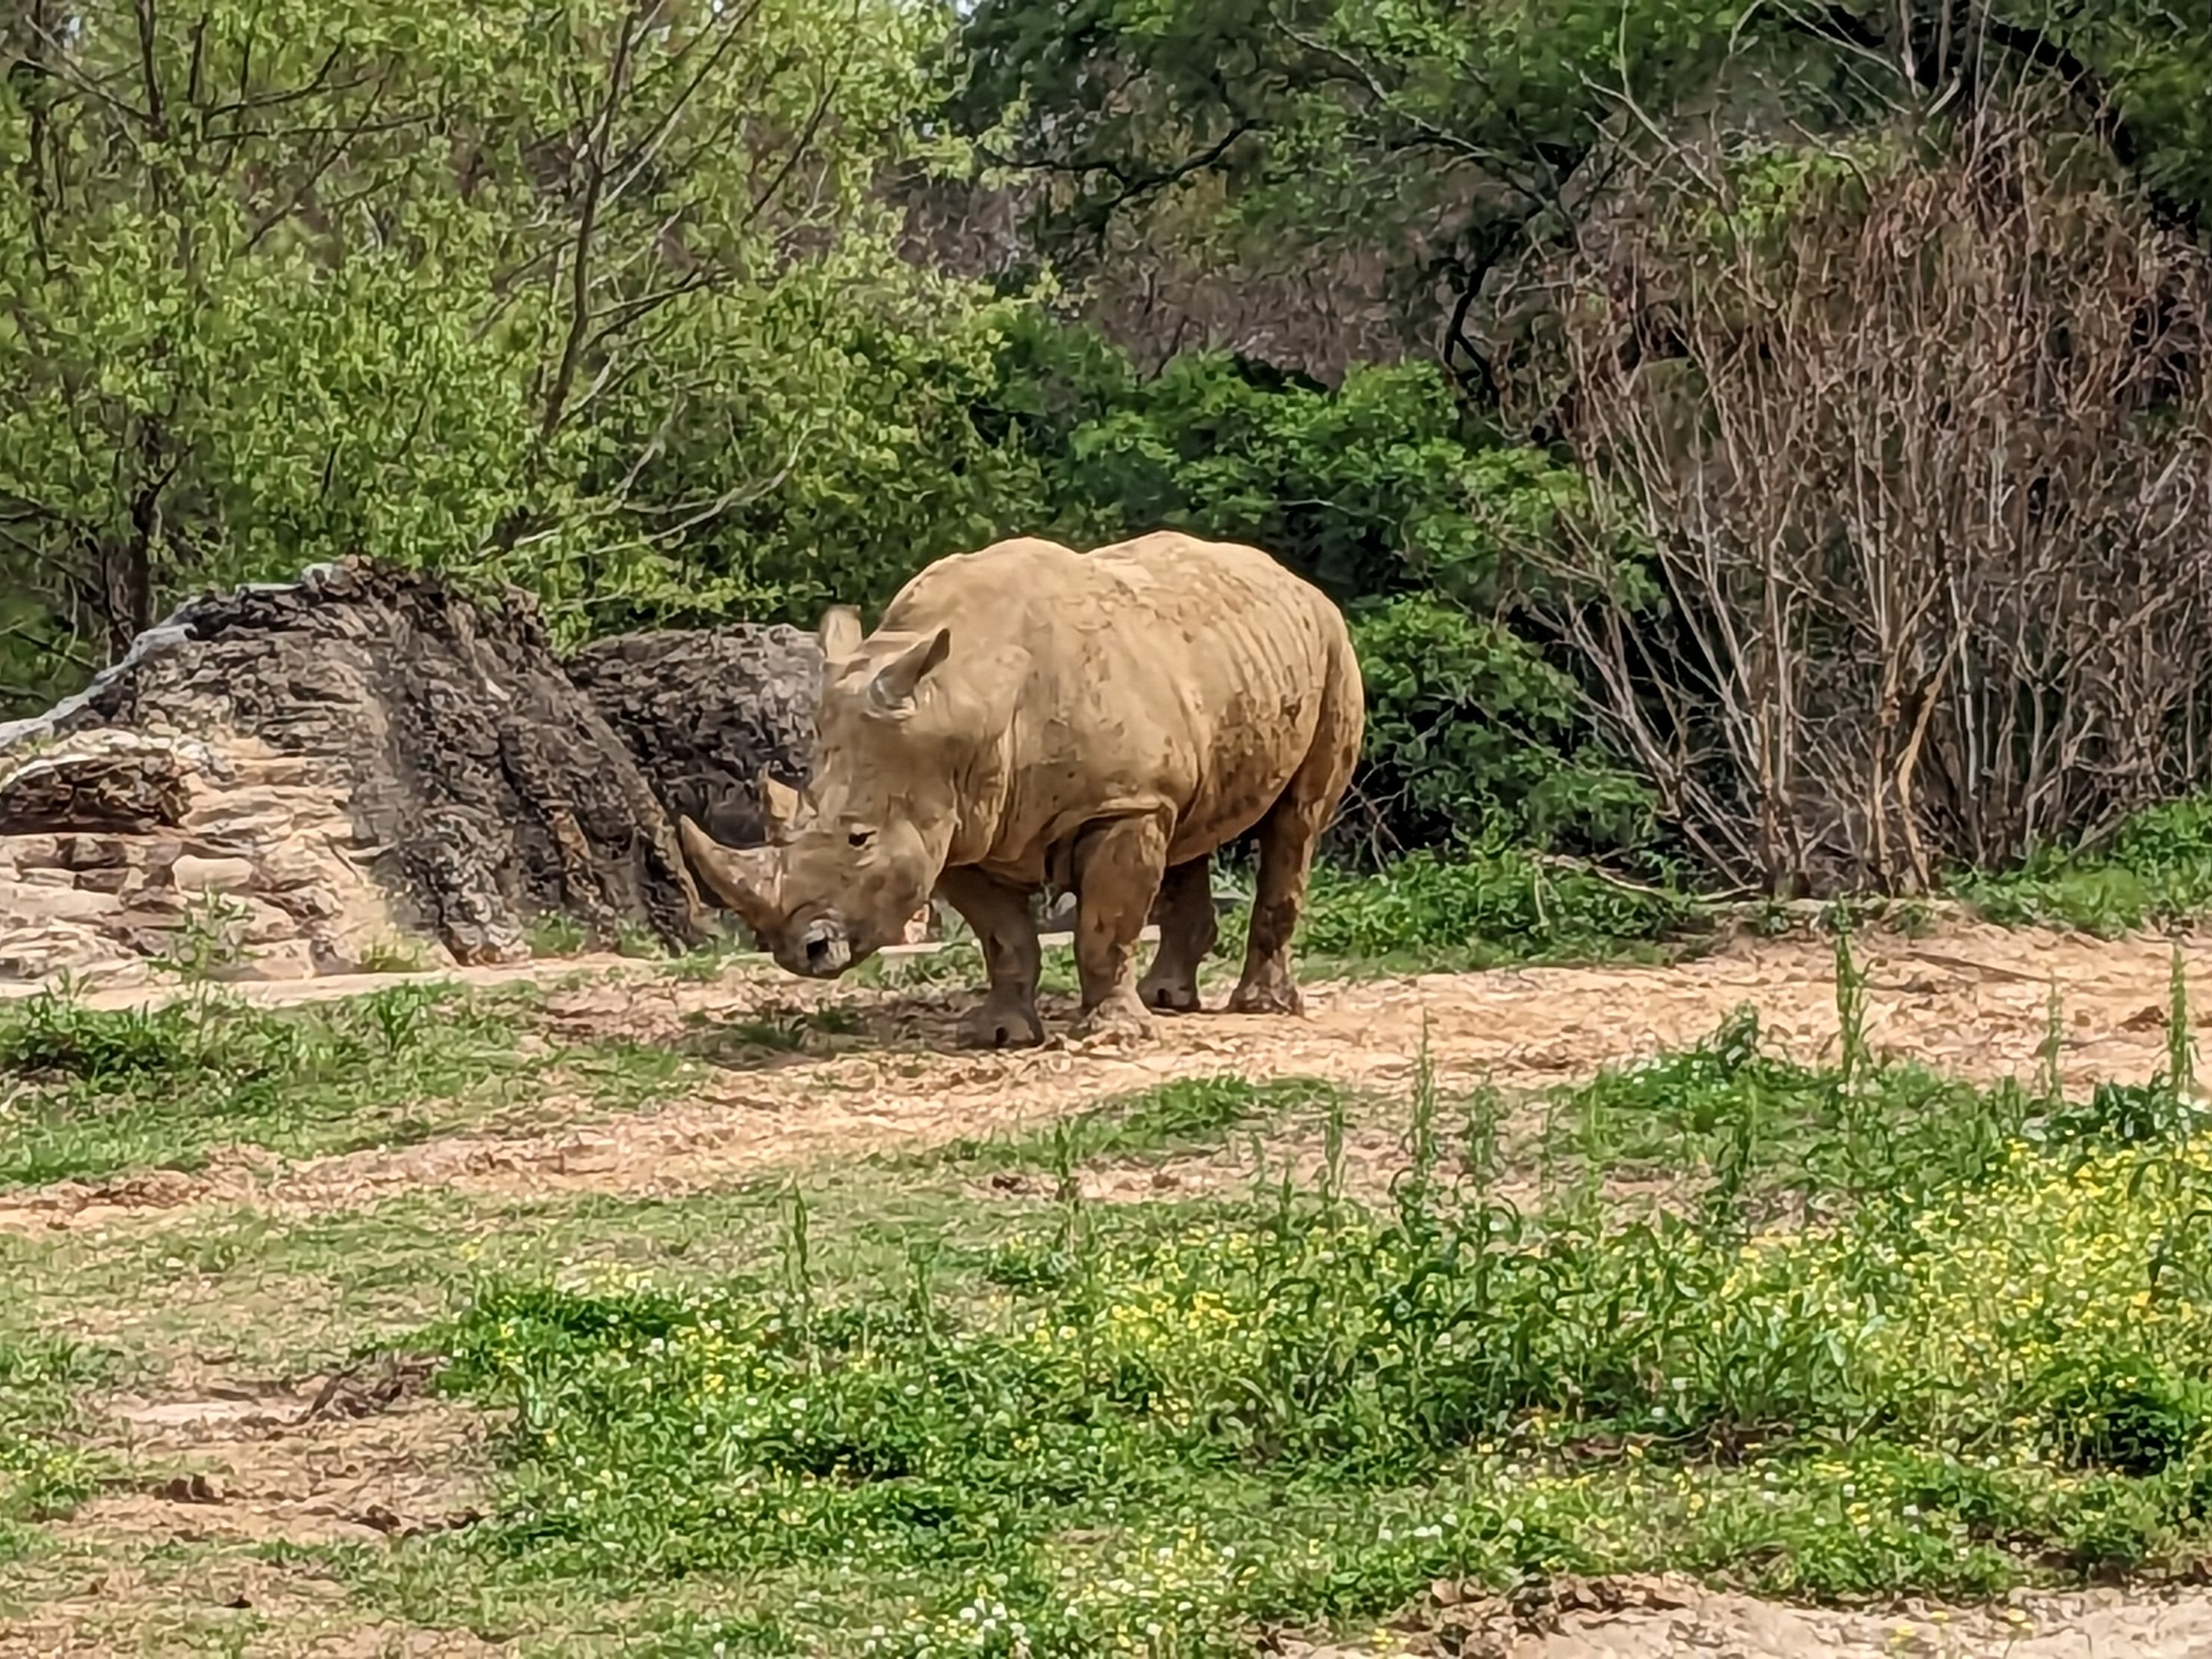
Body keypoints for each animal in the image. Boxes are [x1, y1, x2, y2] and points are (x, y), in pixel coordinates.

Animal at [677, 530, 1365, 1046]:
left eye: (859, 839)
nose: (800, 953)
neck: (961, 695)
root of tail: (1292, 579)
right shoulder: (957, 828)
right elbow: (1004, 938)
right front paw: (1001, 1036)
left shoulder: (1116, 805)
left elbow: (1104, 926)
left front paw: (1112, 1036)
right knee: (1185, 833)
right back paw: (1168, 1000)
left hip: (1333, 647)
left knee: (1296, 823)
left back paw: (1260, 1008)